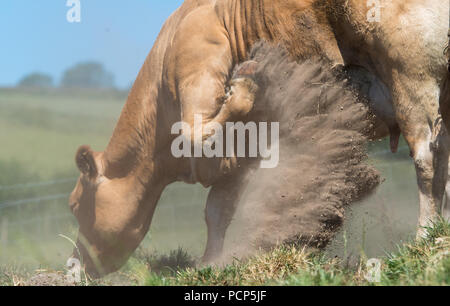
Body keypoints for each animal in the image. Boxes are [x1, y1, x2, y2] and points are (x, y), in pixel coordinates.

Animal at [68, 0, 450, 278]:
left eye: (73, 206)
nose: (73, 263)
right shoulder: (241, 152)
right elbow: (217, 210)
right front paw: (211, 262)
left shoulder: (197, 74)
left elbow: (197, 132)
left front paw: (246, 82)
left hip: (409, 76)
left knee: (427, 159)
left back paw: (423, 237)